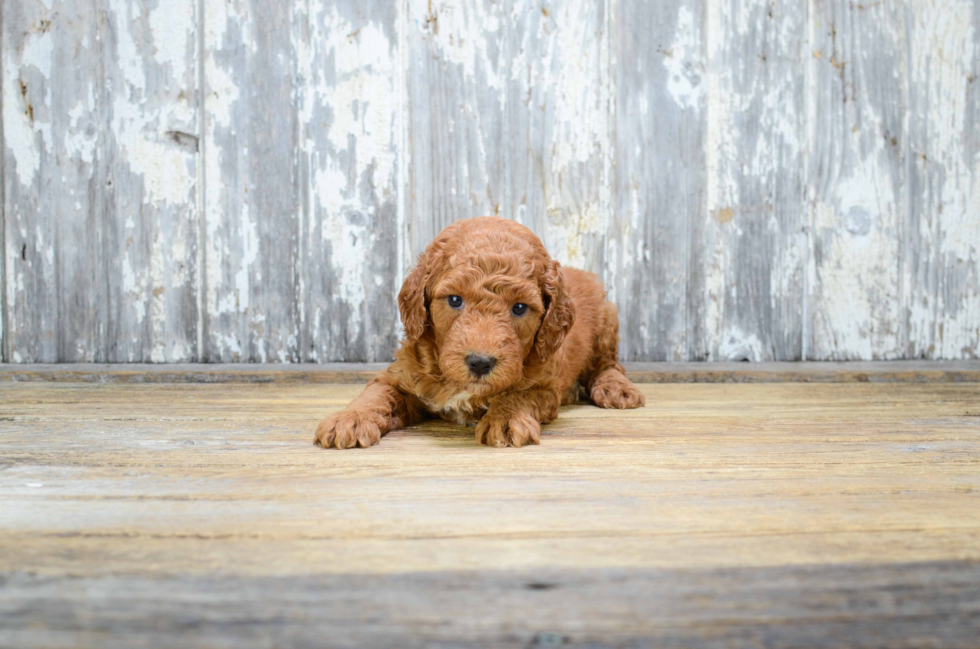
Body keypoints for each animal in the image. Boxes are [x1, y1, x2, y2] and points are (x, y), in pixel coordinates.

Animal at [314, 215, 648, 448]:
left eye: (519, 308)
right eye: (454, 300)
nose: (479, 362)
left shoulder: (545, 386)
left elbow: (518, 394)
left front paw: (505, 419)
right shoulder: (401, 375)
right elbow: (376, 394)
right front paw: (349, 419)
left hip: (607, 320)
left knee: (608, 364)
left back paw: (617, 389)